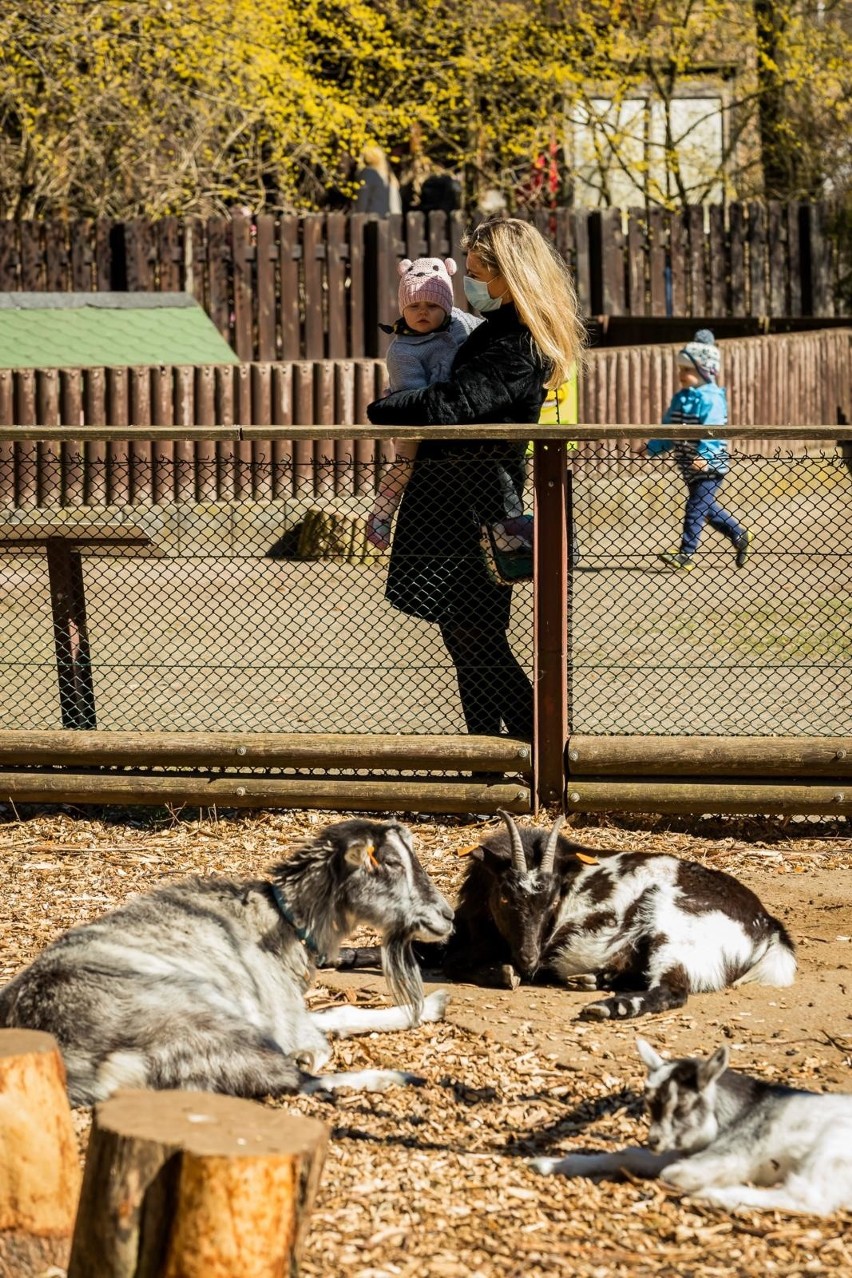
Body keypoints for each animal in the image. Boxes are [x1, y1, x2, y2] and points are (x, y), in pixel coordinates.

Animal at [0, 817, 457, 1109]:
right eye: (391, 863)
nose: (448, 916)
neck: (278, 924)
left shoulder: (278, 1014)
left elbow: (340, 1013)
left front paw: (431, 1007)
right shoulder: (279, 1019)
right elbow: (319, 1039)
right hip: (201, 1018)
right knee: (294, 1080)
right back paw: (395, 1077)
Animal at [434, 807, 802, 1017]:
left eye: (553, 902)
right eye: (506, 899)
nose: (529, 960)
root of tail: (768, 924)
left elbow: (451, 963)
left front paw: (506, 974)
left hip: (676, 936)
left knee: (672, 991)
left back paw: (608, 1006)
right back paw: (591, 980)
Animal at [533, 1037, 852, 1216]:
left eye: (683, 1107)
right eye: (649, 1104)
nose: (654, 1141)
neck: (742, 1109)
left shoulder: (735, 1152)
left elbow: (672, 1173)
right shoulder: (684, 1148)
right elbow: (628, 1154)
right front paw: (550, 1163)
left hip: (830, 1151)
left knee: (808, 1197)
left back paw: (714, 1196)